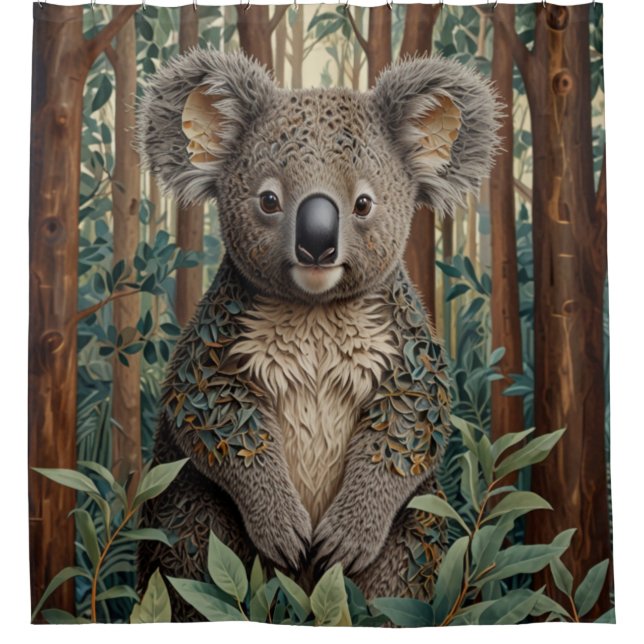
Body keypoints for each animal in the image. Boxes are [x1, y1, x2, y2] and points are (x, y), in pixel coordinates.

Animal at [135, 48, 500, 622]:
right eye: (268, 199)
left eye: (364, 204)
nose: (317, 245)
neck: (315, 314)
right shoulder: (217, 345)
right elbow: (212, 417)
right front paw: (283, 528)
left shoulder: (405, 348)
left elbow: (411, 425)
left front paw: (345, 538)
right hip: (189, 515)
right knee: (193, 565)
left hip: (416, 536)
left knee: (406, 578)